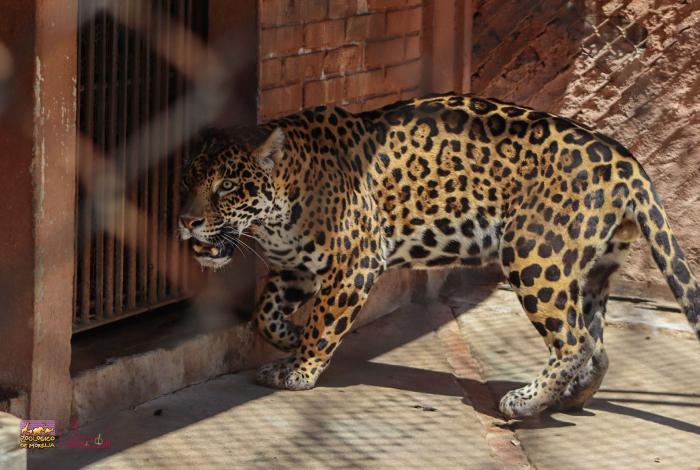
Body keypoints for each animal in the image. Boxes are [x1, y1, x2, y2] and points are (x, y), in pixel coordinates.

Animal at [179, 93, 700, 420]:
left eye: (227, 187)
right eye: (188, 180)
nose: (187, 221)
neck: (278, 208)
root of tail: (626, 160)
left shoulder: (354, 263)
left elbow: (325, 320)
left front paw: (300, 370)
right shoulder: (295, 268)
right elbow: (266, 313)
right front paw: (287, 341)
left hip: (535, 255)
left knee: (572, 340)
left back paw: (526, 403)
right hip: (592, 268)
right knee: (596, 345)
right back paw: (569, 399)